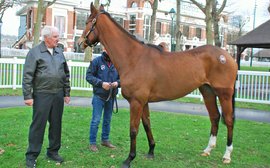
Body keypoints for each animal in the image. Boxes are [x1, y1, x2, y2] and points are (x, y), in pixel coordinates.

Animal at [77, 3, 236, 167]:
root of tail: (228, 56)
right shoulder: (144, 102)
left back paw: (227, 155)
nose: (80, 43)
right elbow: (147, 124)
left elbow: (133, 130)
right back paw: (208, 150)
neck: (134, 58)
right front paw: (151, 151)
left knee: (229, 120)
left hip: (224, 94)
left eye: (88, 22)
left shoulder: (136, 102)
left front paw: (129, 159)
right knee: (215, 117)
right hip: (207, 91)